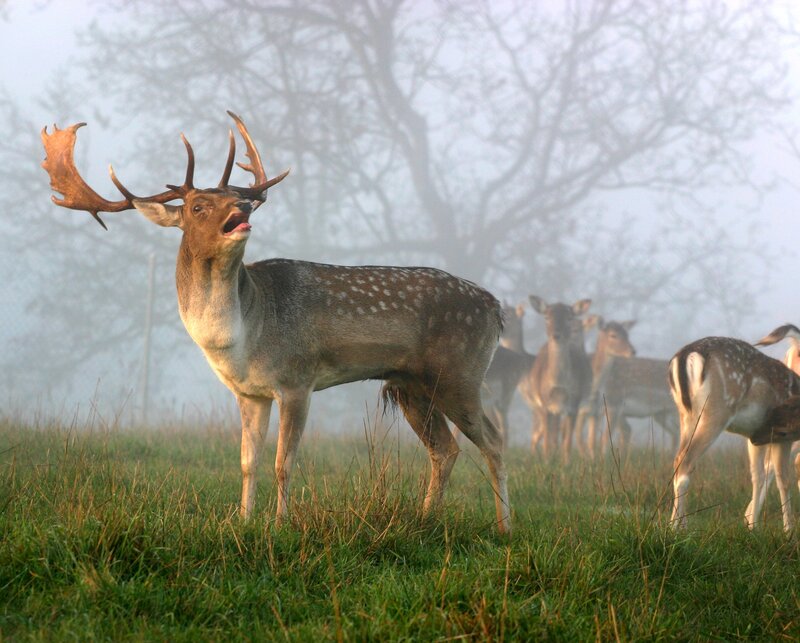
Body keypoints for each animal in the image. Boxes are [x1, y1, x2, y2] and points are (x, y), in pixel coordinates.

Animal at [41, 114, 511, 535]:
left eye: (232, 195)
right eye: (197, 205)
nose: (244, 204)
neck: (244, 337)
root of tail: (496, 308)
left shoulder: (297, 379)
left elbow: (283, 463)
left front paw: (280, 525)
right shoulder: (249, 393)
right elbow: (248, 462)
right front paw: (243, 520)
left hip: (459, 372)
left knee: (493, 439)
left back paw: (504, 527)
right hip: (411, 385)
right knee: (445, 449)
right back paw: (427, 518)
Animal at [518, 296, 592, 459]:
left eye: (569, 317)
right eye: (547, 317)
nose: (556, 335)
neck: (559, 384)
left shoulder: (574, 402)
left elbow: (568, 441)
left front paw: (566, 462)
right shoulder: (545, 401)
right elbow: (547, 438)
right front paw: (547, 460)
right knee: (551, 434)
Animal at [668, 336, 800, 531]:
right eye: (782, 430)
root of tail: (686, 355)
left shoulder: (755, 436)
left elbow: (757, 476)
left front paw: (753, 527)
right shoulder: (781, 437)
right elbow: (783, 480)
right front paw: (789, 531)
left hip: (686, 415)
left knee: (678, 459)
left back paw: (676, 524)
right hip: (717, 411)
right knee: (685, 462)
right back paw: (676, 528)